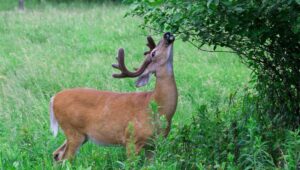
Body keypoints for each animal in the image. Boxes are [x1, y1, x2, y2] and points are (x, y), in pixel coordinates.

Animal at [48, 32, 176, 161]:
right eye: (153, 53)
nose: (167, 34)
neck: (157, 108)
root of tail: (54, 98)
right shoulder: (131, 139)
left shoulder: (153, 145)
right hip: (72, 130)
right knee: (66, 158)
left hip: (81, 135)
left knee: (57, 154)